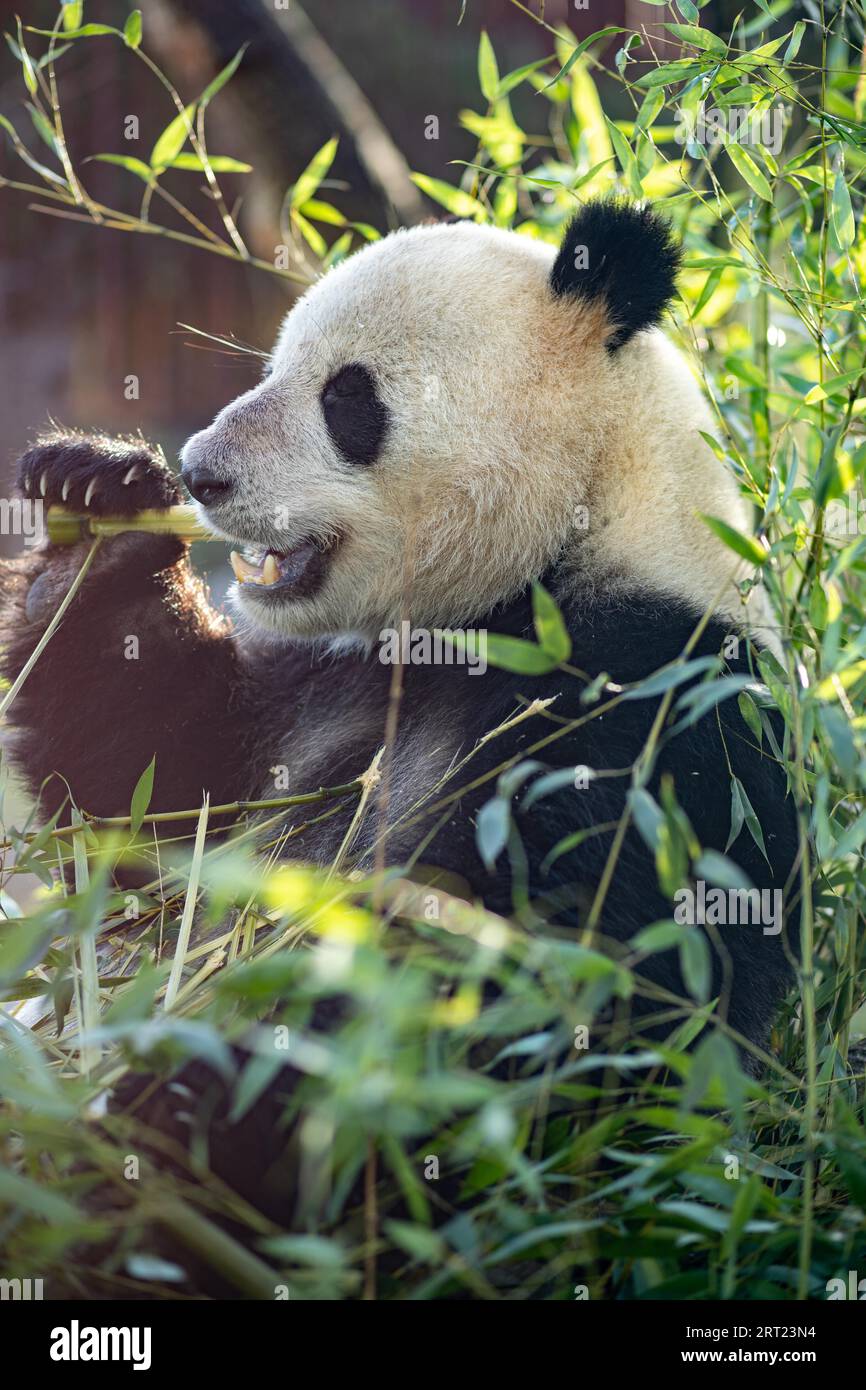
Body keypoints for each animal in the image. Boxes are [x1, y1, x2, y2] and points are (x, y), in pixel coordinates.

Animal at [0, 195, 800, 1239]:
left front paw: (193, 1105)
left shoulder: (655, 711)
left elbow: (556, 987)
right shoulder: (321, 684)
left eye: (347, 398)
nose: (203, 473)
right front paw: (97, 511)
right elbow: (153, 803)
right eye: (273, 363)